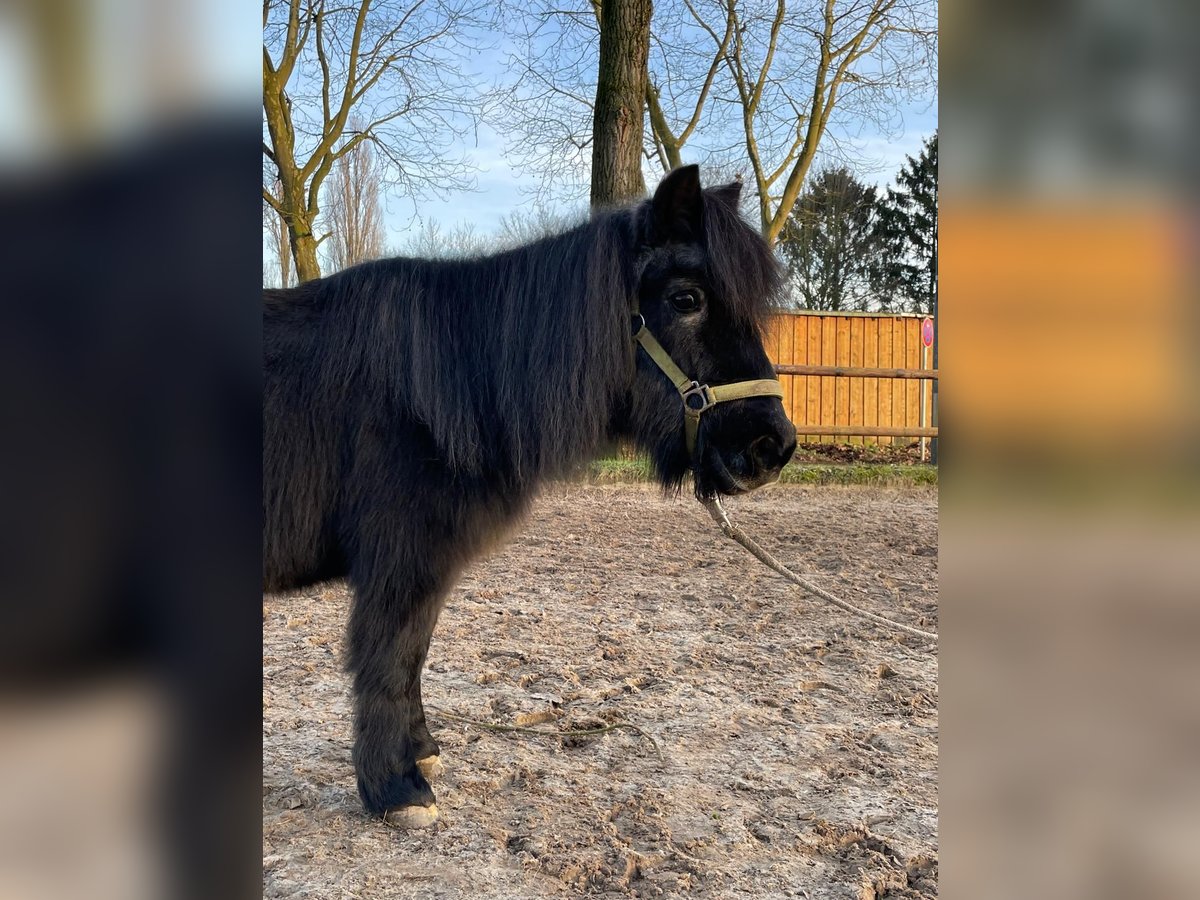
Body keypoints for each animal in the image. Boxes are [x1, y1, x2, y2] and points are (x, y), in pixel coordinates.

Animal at [267, 165, 801, 830]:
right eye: (687, 300)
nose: (772, 445)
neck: (444, 388)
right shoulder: (400, 566)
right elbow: (389, 661)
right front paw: (396, 788)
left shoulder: (426, 571)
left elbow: (414, 654)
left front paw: (421, 753)